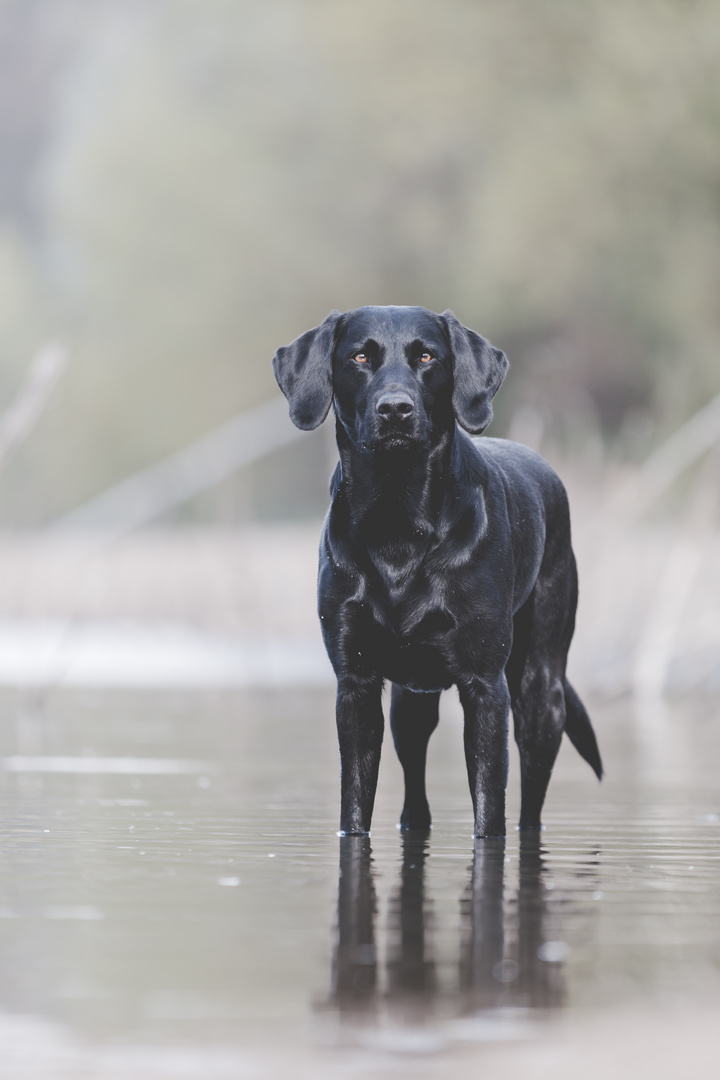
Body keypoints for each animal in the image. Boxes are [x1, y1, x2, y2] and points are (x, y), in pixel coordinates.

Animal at [273, 308, 600, 838]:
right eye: (359, 357)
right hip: (411, 701)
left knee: (531, 802)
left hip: (540, 691)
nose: (395, 409)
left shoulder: (485, 686)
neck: (398, 522)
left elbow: (490, 806)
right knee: (415, 790)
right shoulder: (356, 683)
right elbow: (355, 805)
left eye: (427, 357)